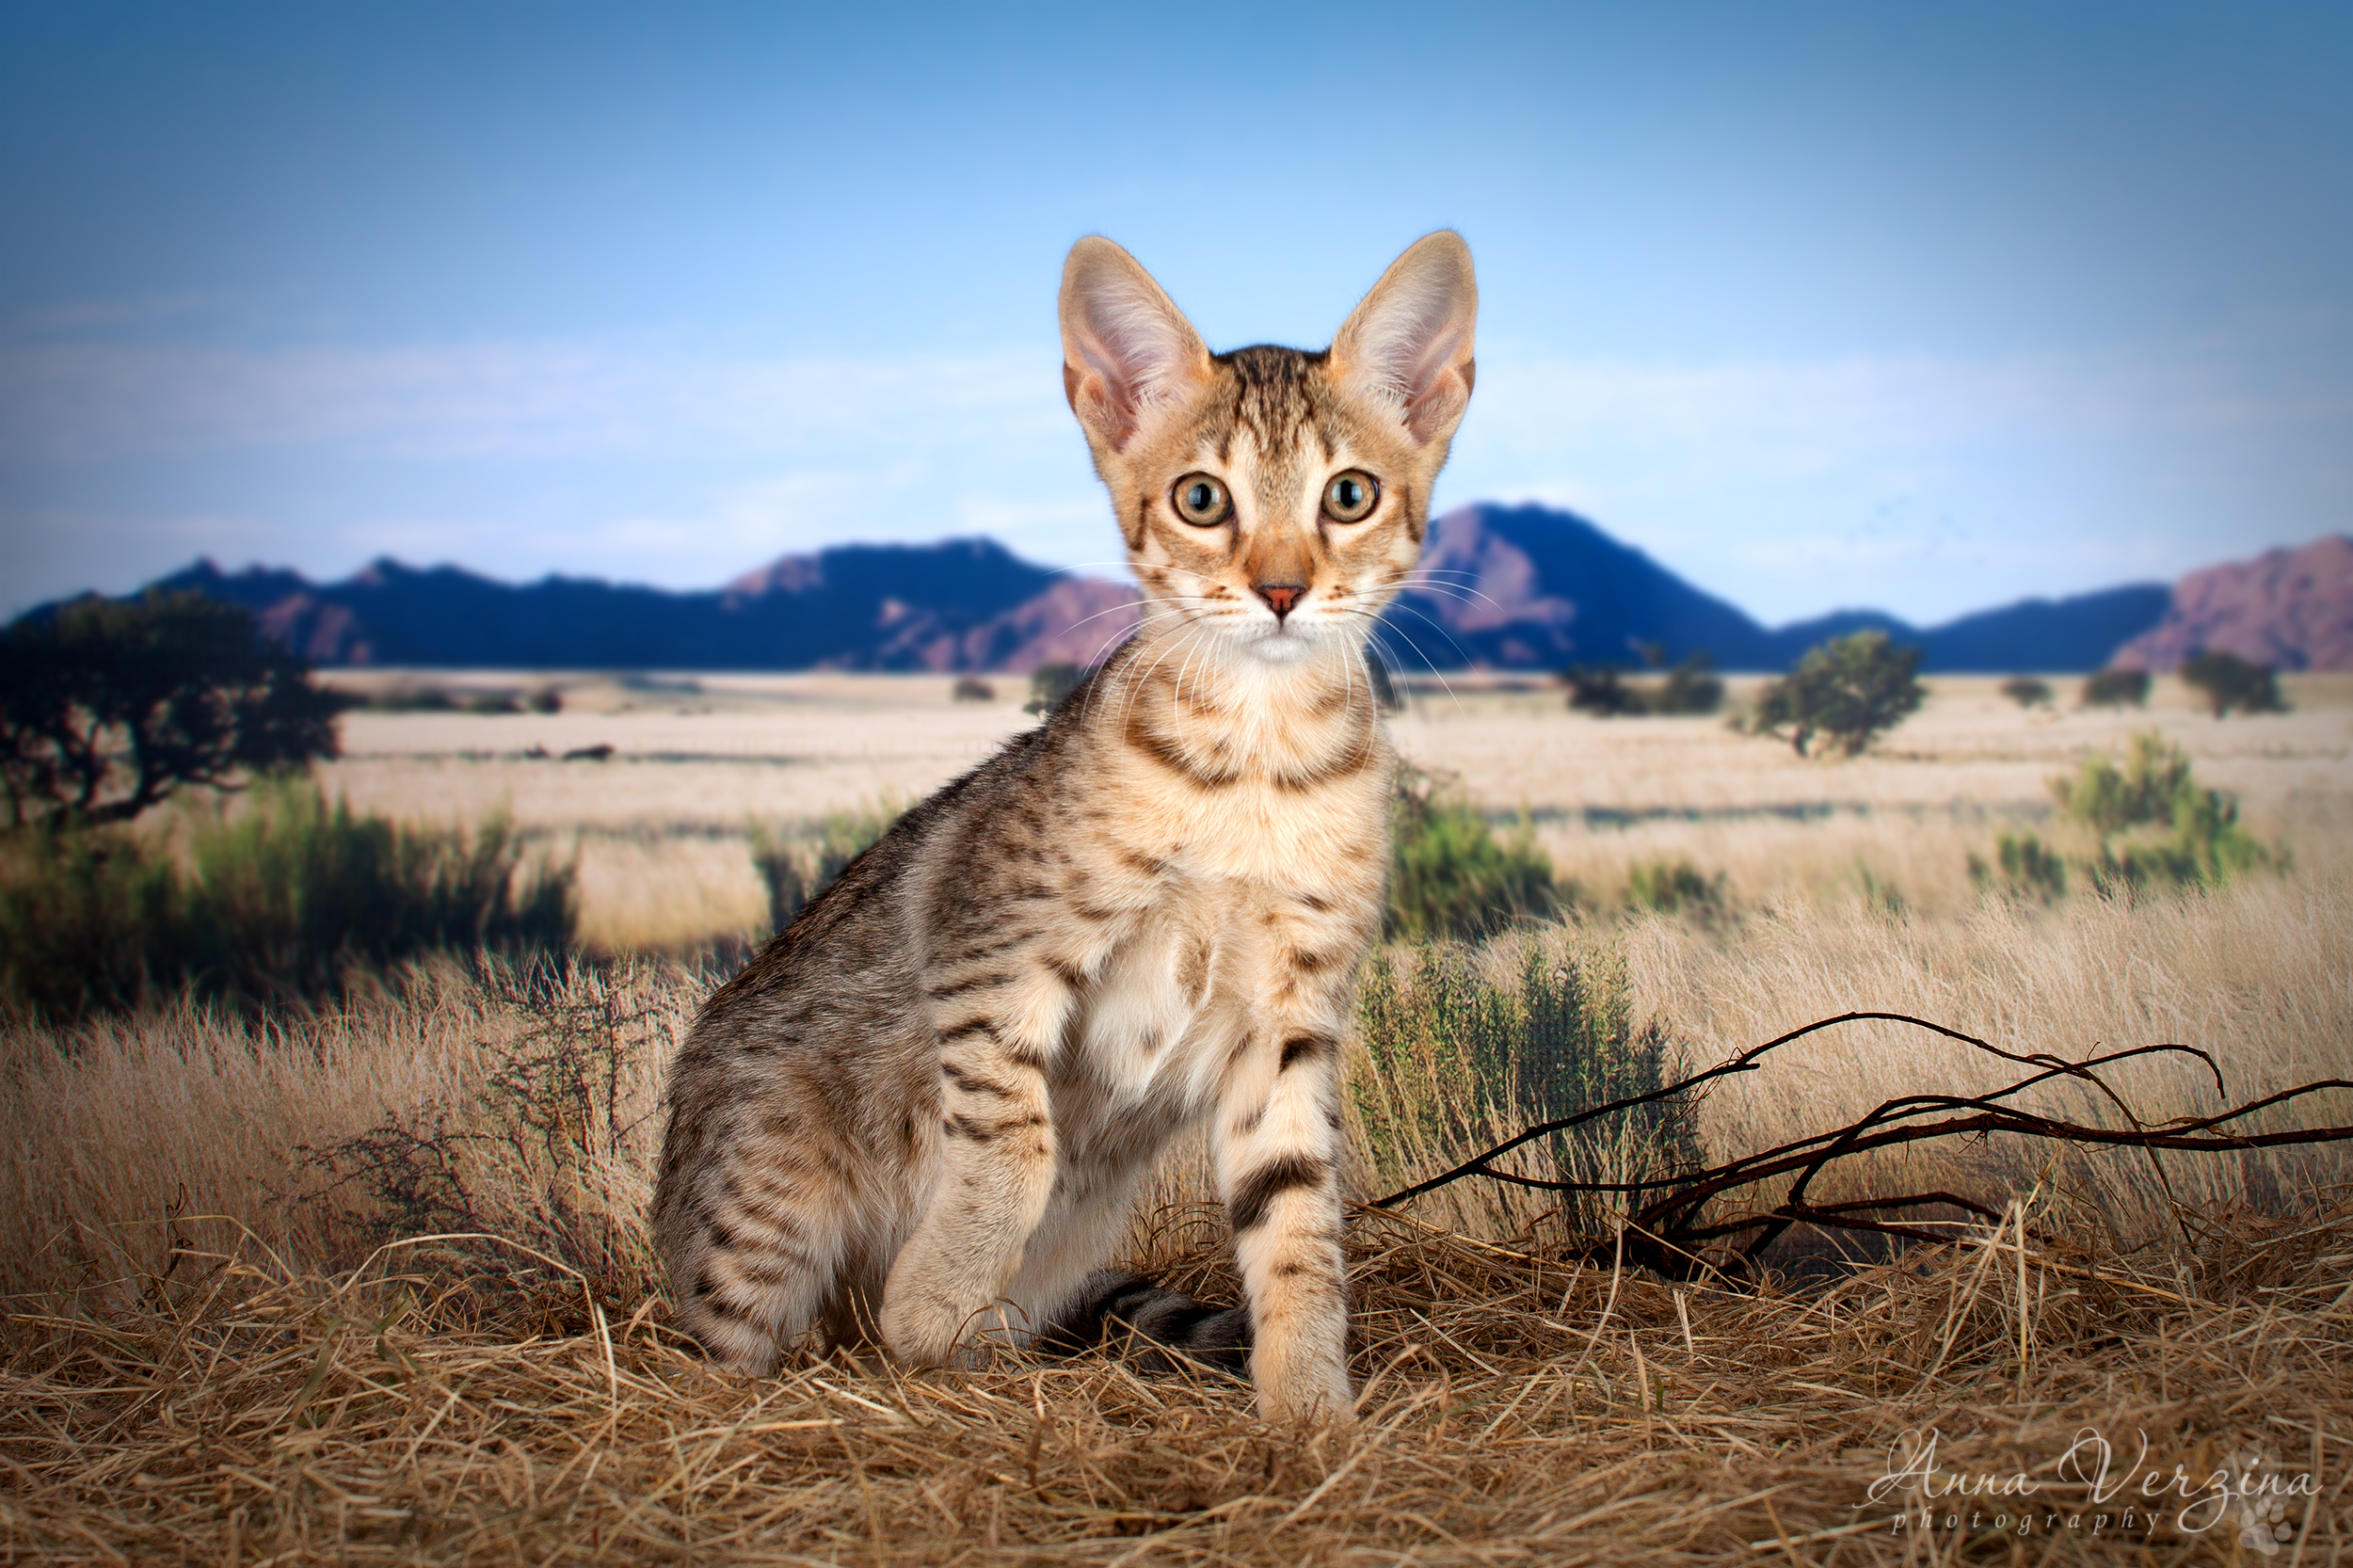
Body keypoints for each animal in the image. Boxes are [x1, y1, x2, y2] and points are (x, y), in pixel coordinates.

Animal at [654, 229, 1478, 1412]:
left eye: (1351, 494)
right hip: (757, 1222)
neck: (1254, 762)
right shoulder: (986, 945)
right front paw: (932, 1295)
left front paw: (1311, 1409)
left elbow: (1299, 1221)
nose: (1280, 590)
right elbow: (1016, 1141)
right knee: (720, 1341)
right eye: (1200, 498)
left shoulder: (1288, 1017)